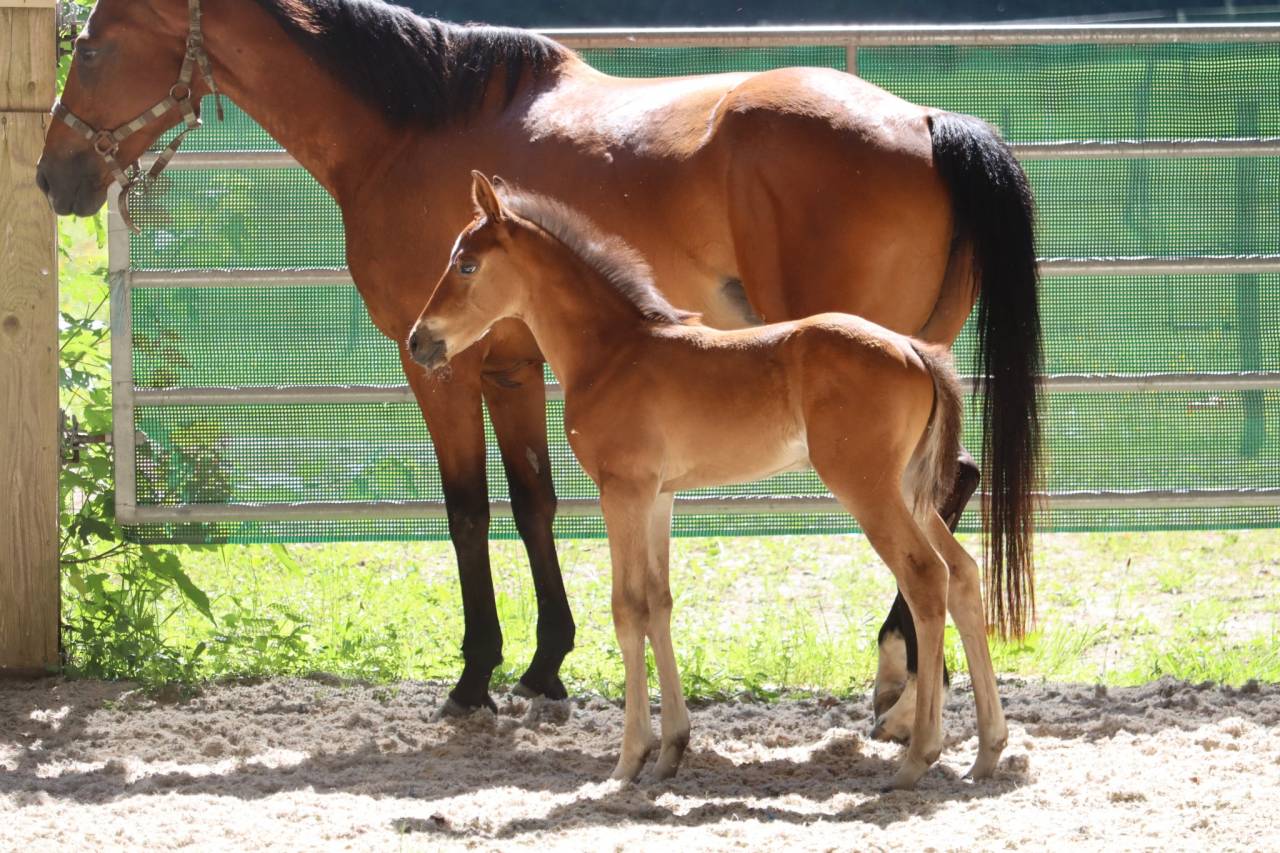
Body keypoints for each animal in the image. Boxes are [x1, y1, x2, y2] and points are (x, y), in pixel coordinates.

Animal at [408, 172, 1009, 788]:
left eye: (466, 265)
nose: (417, 341)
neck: (613, 351)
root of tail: (914, 348)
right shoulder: (658, 497)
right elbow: (659, 603)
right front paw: (670, 749)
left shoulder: (621, 491)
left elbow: (627, 610)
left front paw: (628, 759)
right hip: (910, 490)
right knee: (963, 576)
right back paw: (987, 751)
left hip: (867, 489)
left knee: (926, 578)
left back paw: (918, 755)